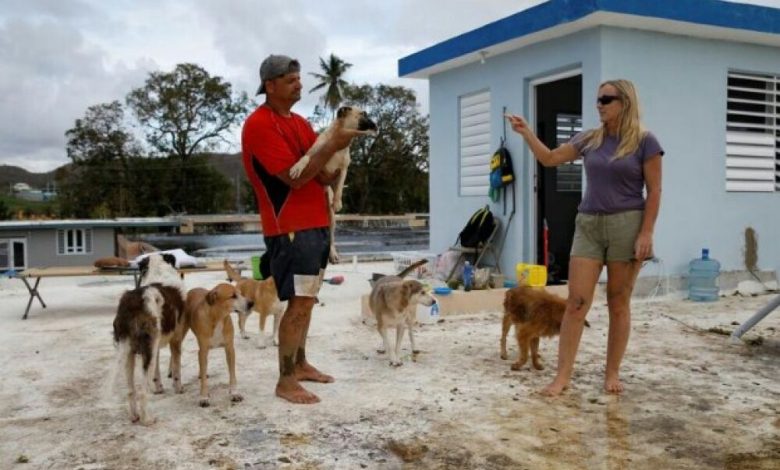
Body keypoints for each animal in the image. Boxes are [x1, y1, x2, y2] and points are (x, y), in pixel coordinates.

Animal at [112, 253, 185, 426]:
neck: (158, 271)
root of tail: (131, 304)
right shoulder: (176, 339)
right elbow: (176, 367)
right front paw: (178, 388)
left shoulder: (156, 347)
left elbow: (157, 373)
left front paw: (159, 388)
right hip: (147, 348)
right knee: (143, 391)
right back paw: (147, 420)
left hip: (128, 352)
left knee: (131, 390)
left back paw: (134, 416)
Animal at [290, 104, 380, 262]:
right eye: (363, 114)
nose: (375, 125)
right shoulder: (315, 157)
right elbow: (305, 158)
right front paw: (297, 167)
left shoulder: (343, 170)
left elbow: (339, 188)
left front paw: (338, 202)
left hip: (331, 219)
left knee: (331, 238)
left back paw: (332, 253)